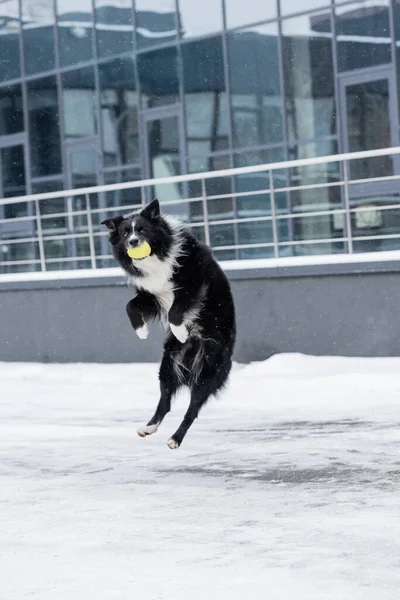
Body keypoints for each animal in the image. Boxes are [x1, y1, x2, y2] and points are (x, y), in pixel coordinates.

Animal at [101, 199, 236, 448]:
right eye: (125, 233)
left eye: (142, 229)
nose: (133, 242)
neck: (157, 256)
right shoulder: (151, 294)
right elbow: (130, 306)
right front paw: (142, 331)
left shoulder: (192, 284)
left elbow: (175, 312)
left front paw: (181, 331)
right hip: (168, 365)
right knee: (165, 402)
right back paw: (148, 427)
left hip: (208, 371)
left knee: (192, 410)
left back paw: (175, 439)